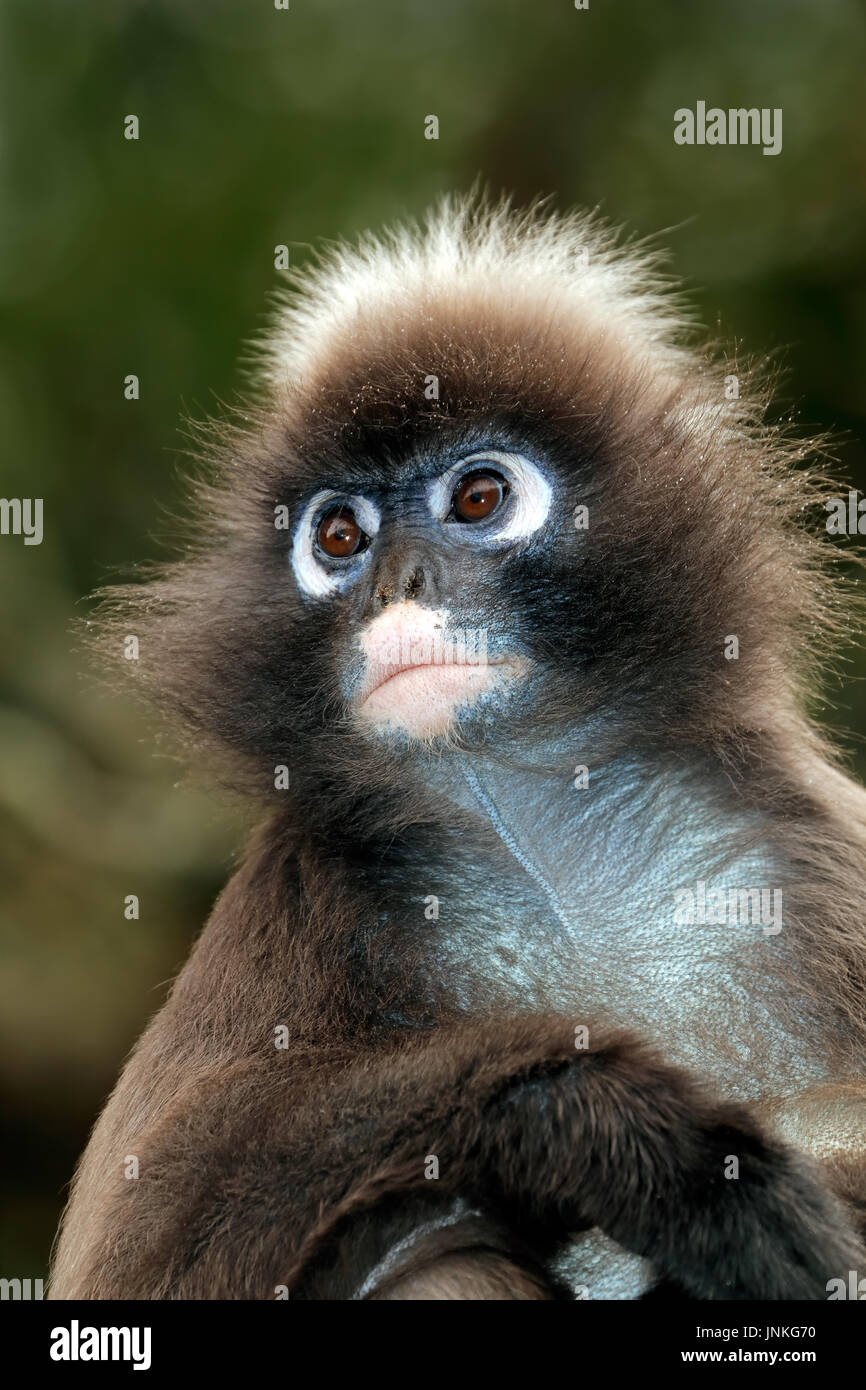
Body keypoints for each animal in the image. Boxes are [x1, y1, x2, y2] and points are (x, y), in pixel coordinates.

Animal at [48, 190, 866, 1295]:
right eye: (338, 538)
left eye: (478, 498)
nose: (398, 585)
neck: (553, 854)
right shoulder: (305, 897)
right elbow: (148, 1258)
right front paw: (651, 1143)